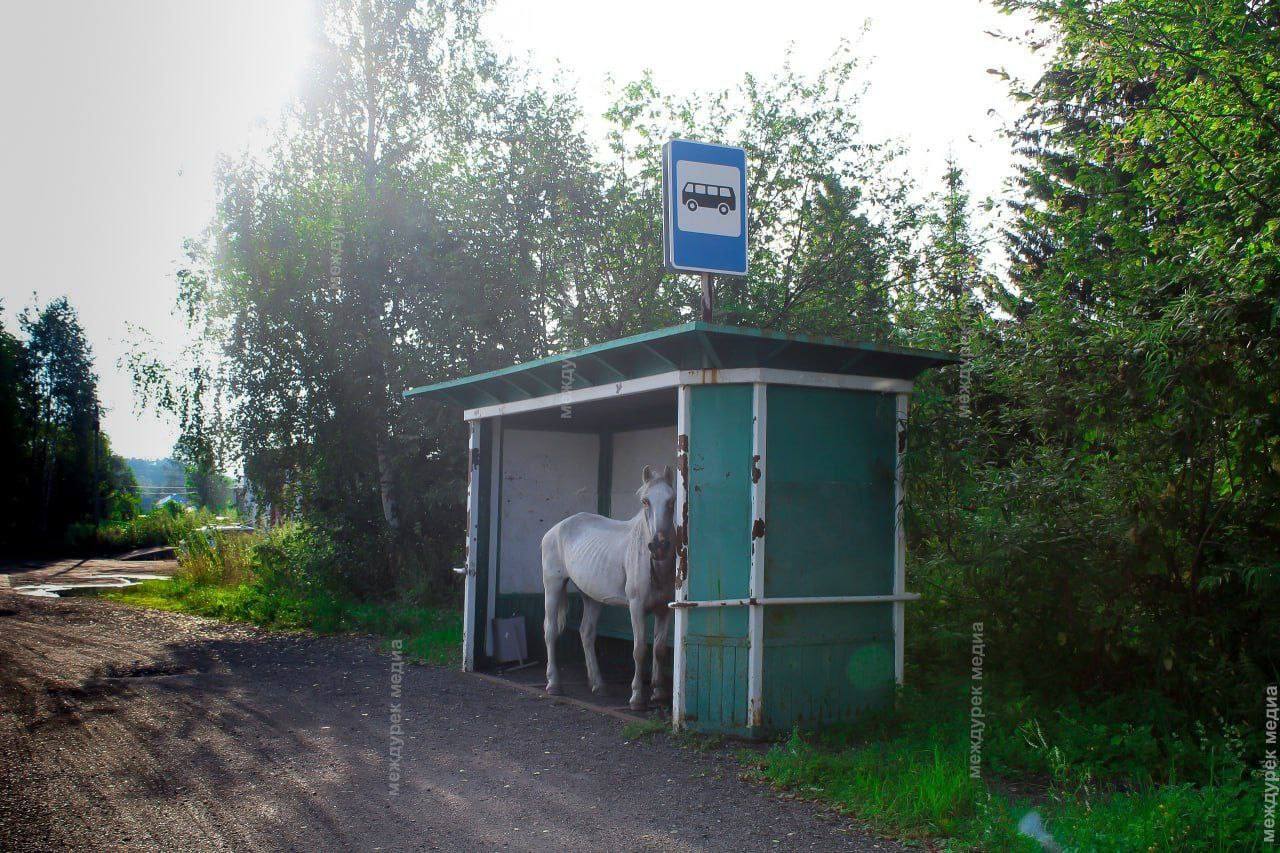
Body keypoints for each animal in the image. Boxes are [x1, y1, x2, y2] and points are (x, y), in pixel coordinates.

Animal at [540, 461, 680, 706]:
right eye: (645, 501)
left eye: (671, 500)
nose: (659, 546)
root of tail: (555, 529)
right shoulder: (636, 607)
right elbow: (639, 649)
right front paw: (637, 697)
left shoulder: (664, 610)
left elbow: (660, 649)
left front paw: (659, 692)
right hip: (553, 586)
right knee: (550, 630)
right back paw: (554, 684)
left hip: (591, 596)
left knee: (586, 633)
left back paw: (598, 685)